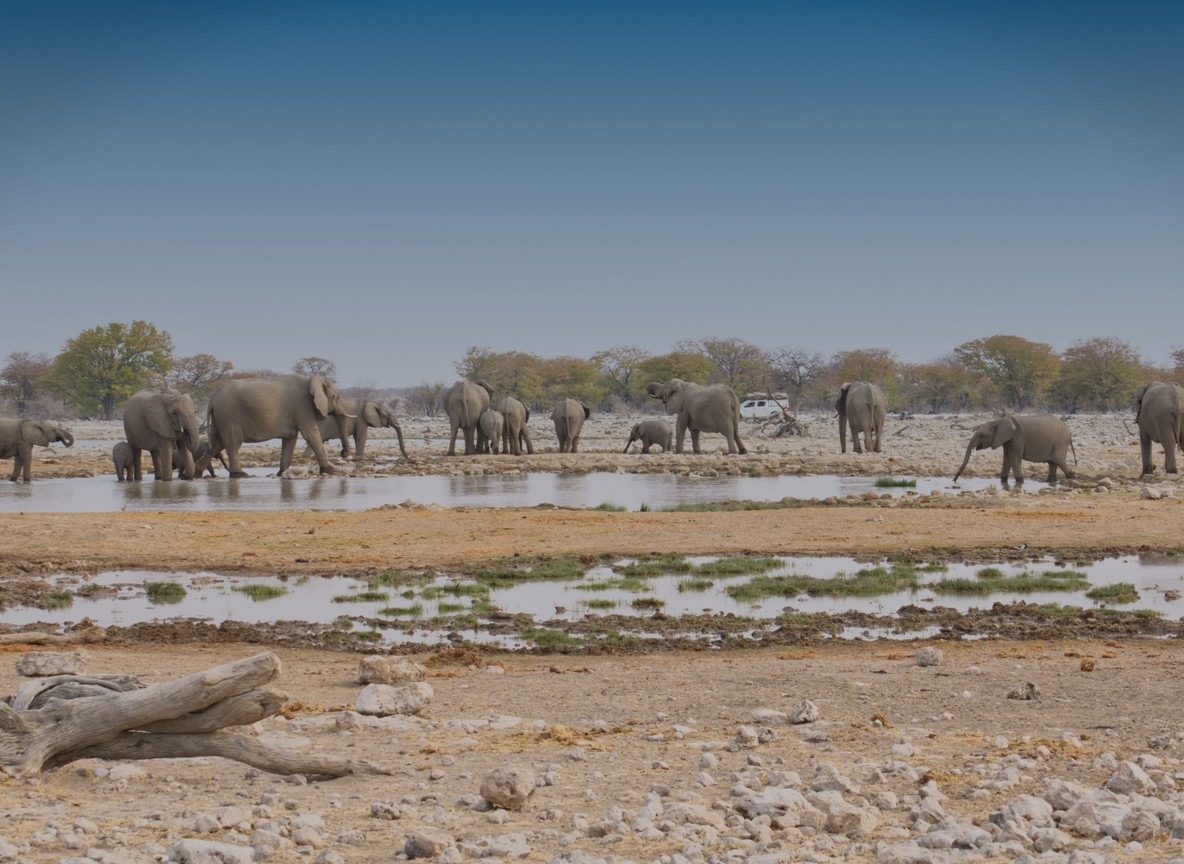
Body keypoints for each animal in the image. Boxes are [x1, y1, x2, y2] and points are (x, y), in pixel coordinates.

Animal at [206, 374, 355, 477]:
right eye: (337, 397)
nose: (343, 453)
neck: (312, 380)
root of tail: (212, 397)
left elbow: (290, 439)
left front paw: (282, 473)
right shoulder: (303, 407)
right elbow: (311, 434)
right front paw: (330, 470)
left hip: (220, 418)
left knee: (216, 444)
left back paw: (201, 473)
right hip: (229, 416)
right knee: (233, 444)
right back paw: (240, 475)